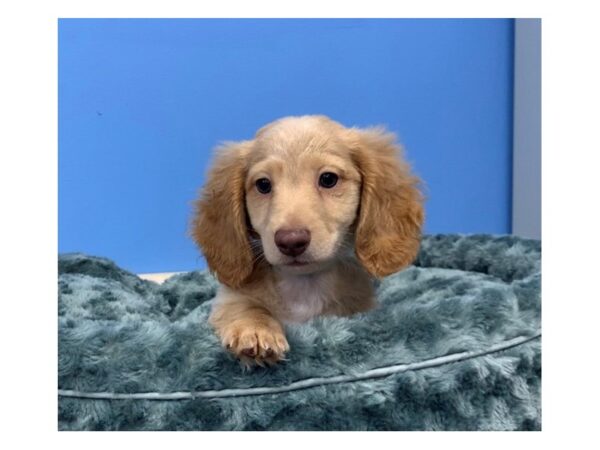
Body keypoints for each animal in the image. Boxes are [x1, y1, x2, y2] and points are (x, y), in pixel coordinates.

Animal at [192, 115, 422, 366]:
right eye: (263, 184)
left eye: (328, 179)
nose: (291, 241)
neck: (304, 285)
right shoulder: (230, 299)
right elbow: (247, 307)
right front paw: (256, 330)